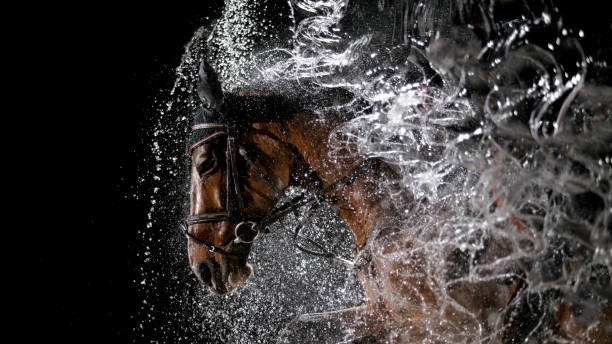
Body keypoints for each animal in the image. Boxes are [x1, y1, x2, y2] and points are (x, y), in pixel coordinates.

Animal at [183, 60, 612, 342]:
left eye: (205, 164)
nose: (202, 267)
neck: (400, 213)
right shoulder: (380, 315)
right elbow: (299, 325)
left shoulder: (446, 328)